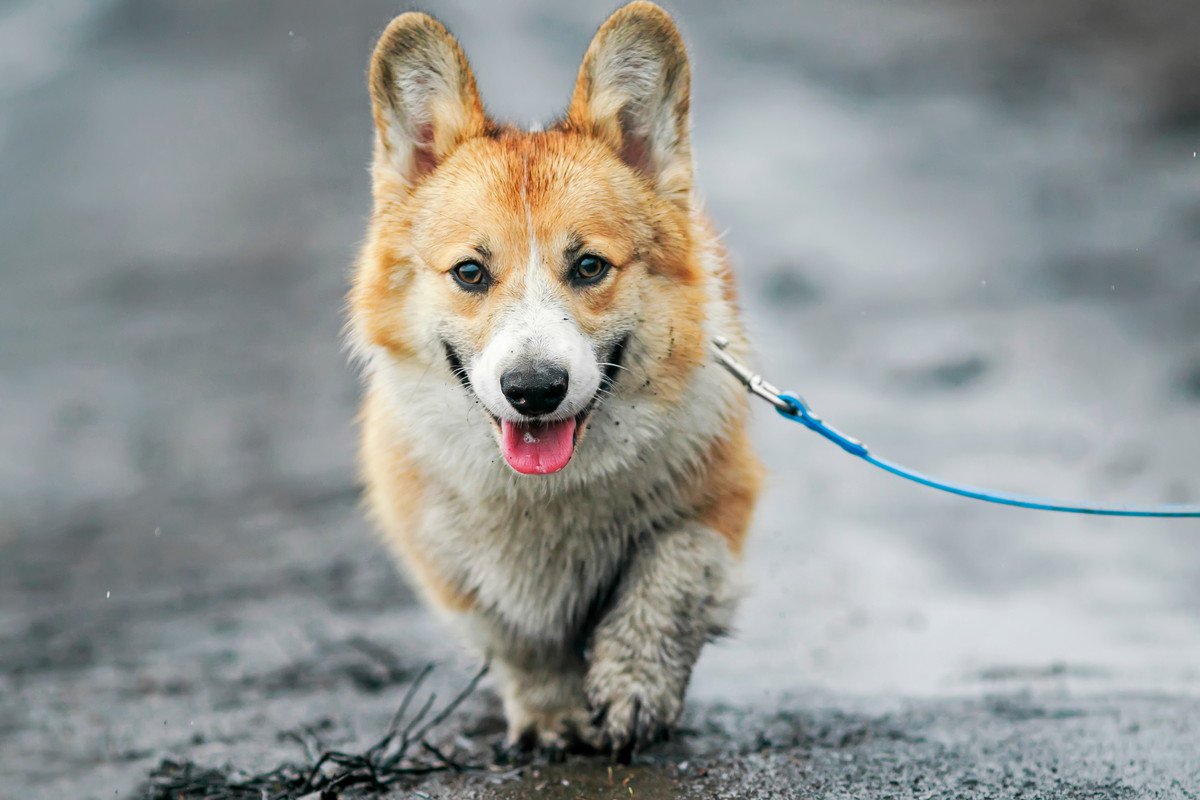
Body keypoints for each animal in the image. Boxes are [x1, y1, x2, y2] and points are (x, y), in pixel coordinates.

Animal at [348, 1, 758, 758]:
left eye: (590, 266)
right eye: (470, 272)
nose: (534, 389)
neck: (549, 494)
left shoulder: (720, 500)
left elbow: (669, 578)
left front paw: (633, 691)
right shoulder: (446, 560)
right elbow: (519, 637)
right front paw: (554, 717)